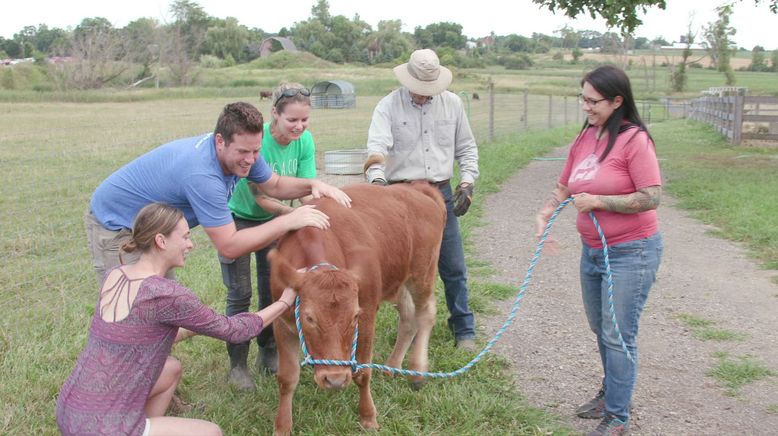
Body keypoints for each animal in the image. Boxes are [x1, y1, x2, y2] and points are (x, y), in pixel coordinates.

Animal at [270, 182, 446, 434]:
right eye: (309, 318)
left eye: (354, 316)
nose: (334, 379)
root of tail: (416, 188)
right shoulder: (281, 323)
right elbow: (286, 378)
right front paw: (282, 426)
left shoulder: (367, 316)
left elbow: (362, 373)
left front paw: (368, 417)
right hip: (399, 280)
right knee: (408, 318)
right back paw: (392, 366)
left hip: (423, 273)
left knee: (426, 313)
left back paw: (418, 369)